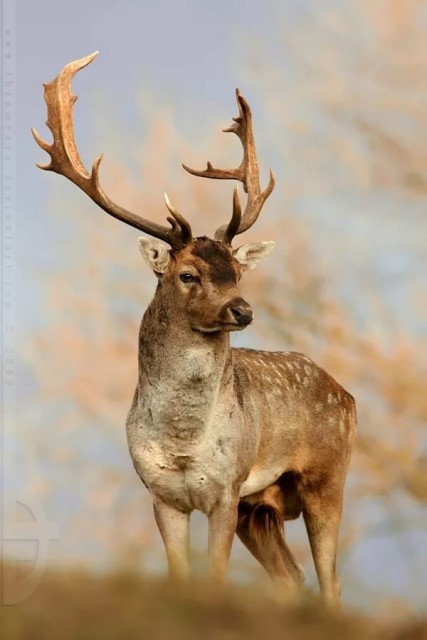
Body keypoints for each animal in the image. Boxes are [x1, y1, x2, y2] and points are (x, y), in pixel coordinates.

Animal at [32, 52, 356, 606]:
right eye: (188, 274)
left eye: (238, 272)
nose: (242, 311)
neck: (183, 442)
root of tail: (349, 397)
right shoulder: (162, 494)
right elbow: (179, 577)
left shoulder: (225, 488)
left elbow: (216, 576)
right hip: (261, 506)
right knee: (292, 576)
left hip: (326, 476)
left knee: (330, 582)